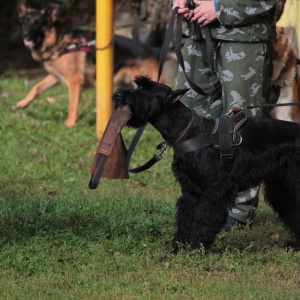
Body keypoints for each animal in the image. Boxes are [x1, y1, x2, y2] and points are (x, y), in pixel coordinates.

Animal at [16, 0, 171, 126]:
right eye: (25, 21)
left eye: (38, 23)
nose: (25, 34)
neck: (60, 42)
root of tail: (152, 50)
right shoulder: (56, 77)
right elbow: (36, 87)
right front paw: (23, 103)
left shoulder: (74, 81)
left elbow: (72, 105)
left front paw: (70, 124)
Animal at [113, 76, 300, 252]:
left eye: (146, 90)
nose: (117, 95)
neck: (186, 131)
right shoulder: (190, 190)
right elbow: (186, 218)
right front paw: (179, 247)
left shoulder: (213, 191)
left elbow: (204, 219)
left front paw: (197, 247)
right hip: (283, 188)